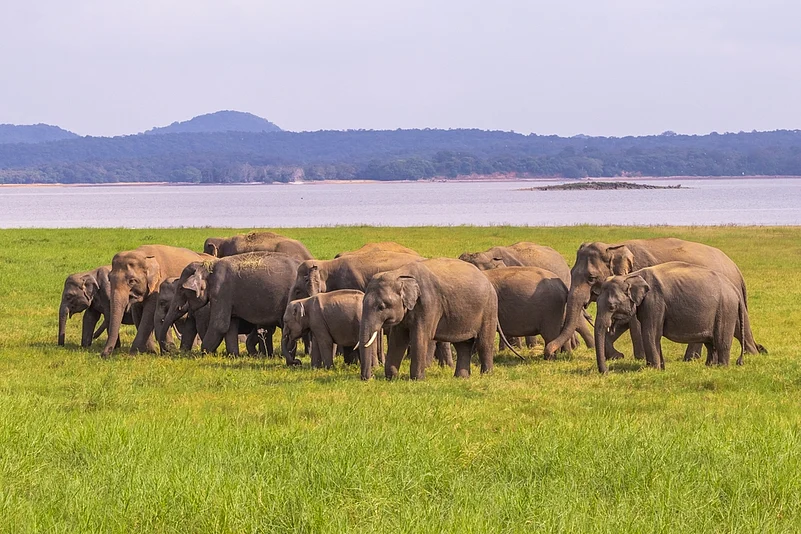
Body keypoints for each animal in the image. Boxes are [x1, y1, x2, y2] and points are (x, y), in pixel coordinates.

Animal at [159, 252, 300, 359]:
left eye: (181, 290)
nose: (168, 351)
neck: (207, 265)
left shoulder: (221, 291)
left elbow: (220, 325)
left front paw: (204, 353)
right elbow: (230, 324)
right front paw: (233, 356)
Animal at [359, 258, 513, 380]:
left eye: (381, 306)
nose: (369, 377)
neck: (400, 274)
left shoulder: (428, 304)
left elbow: (420, 337)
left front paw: (417, 380)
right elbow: (398, 339)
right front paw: (391, 378)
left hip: (489, 308)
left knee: (484, 343)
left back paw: (486, 375)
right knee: (463, 345)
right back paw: (460, 378)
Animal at [544, 238, 765, 361]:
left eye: (591, 278)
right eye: (572, 273)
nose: (549, 353)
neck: (613, 246)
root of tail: (735, 268)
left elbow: (633, 322)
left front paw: (638, 358)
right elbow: (623, 321)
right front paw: (617, 356)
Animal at [594, 262, 749, 373]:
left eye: (612, 307)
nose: (606, 371)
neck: (632, 276)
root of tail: (734, 289)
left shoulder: (654, 302)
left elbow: (650, 333)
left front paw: (652, 369)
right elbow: (653, 334)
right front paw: (660, 369)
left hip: (726, 309)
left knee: (722, 342)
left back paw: (722, 368)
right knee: (711, 343)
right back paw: (710, 367)